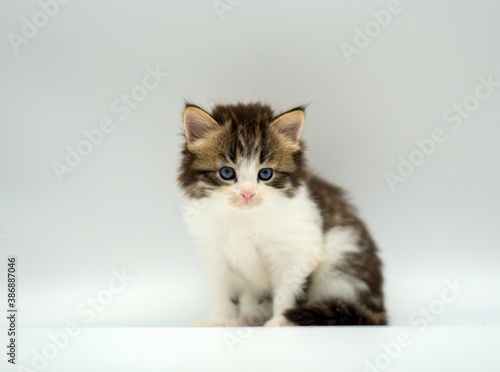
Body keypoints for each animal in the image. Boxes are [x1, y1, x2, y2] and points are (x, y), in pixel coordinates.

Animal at [179, 101, 386, 326]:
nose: (247, 193)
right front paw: (220, 320)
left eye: (265, 173)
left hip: (343, 260)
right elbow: (220, 291)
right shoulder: (213, 253)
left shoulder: (297, 250)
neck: (245, 218)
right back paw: (252, 314)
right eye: (227, 173)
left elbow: (289, 290)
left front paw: (283, 321)